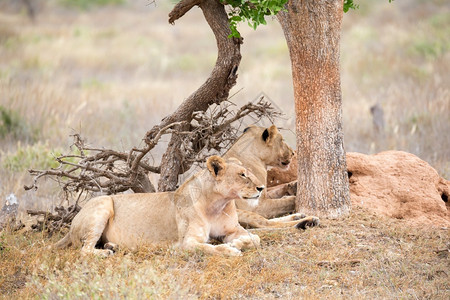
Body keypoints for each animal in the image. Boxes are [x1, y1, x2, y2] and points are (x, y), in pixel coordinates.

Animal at [55, 156, 264, 256]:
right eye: (242, 175)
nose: (261, 188)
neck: (217, 204)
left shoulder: (232, 229)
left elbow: (256, 238)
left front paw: (238, 243)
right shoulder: (187, 243)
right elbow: (210, 248)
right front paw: (232, 250)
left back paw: (113, 246)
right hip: (103, 203)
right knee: (85, 250)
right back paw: (106, 252)